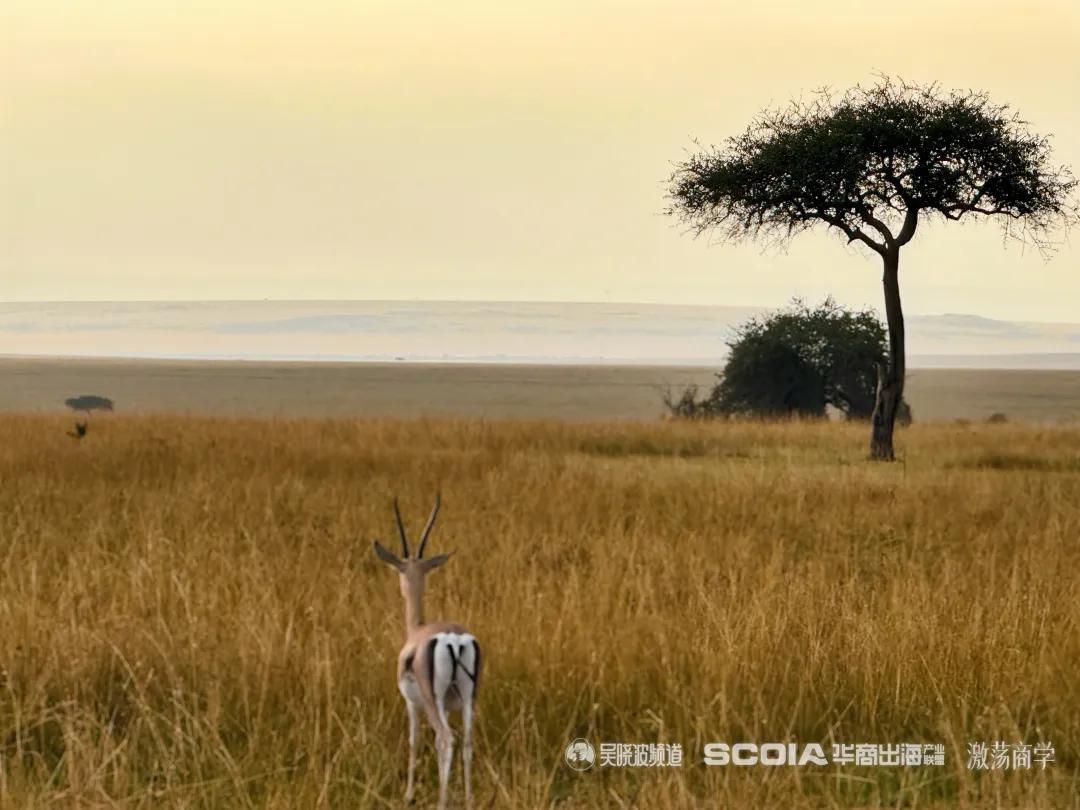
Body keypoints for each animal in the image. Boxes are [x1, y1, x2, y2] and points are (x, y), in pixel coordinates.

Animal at [373, 494, 480, 809]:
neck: (416, 630)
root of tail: (453, 639)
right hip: (468, 699)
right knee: (466, 742)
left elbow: (415, 741)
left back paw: (442, 802)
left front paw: (408, 794)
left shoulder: (412, 704)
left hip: (434, 702)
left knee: (447, 740)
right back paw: (469, 799)